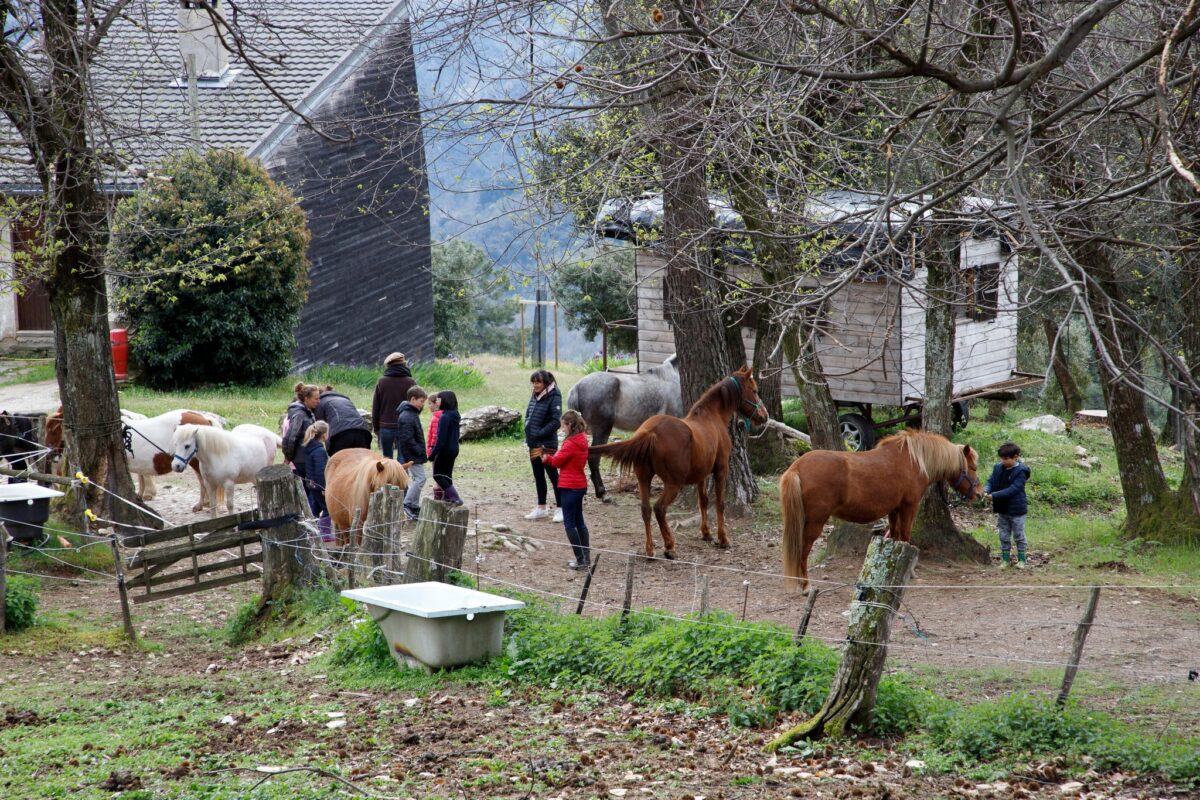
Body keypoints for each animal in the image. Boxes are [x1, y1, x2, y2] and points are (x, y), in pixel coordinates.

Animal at [591, 366, 769, 559]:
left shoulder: (702, 475)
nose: (764, 416)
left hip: (644, 479)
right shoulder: (721, 470)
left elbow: (703, 501)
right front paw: (723, 539)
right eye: (754, 391)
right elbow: (720, 504)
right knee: (659, 508)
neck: (711, 417)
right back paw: (669, 546)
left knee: (646, 509)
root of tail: (650, 432)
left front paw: (706, 533)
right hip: (673, 484)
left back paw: (650, 549)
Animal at [779, 428, 984, 592]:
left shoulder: (894, 510)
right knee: (803, 551)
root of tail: (797, 467)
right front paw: (910, 572)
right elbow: (905, 537)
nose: (980, 494)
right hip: (815, 522)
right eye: (973, 467)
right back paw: (805, 585)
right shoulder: (909, 507)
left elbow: (894, 536)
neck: (913, 461)